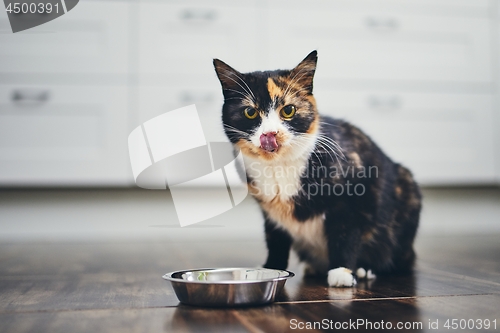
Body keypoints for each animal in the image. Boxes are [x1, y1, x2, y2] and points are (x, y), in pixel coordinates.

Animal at [213, 50, 420, 286]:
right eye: (250, 112)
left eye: (288, 110)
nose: (270, 134)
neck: (279, 166)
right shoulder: (270, 212)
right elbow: (275, 239)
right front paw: (271, 268)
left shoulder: (352, 196)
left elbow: (345, 233)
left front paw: (341, 272)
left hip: (406, 190)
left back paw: (365, 269)